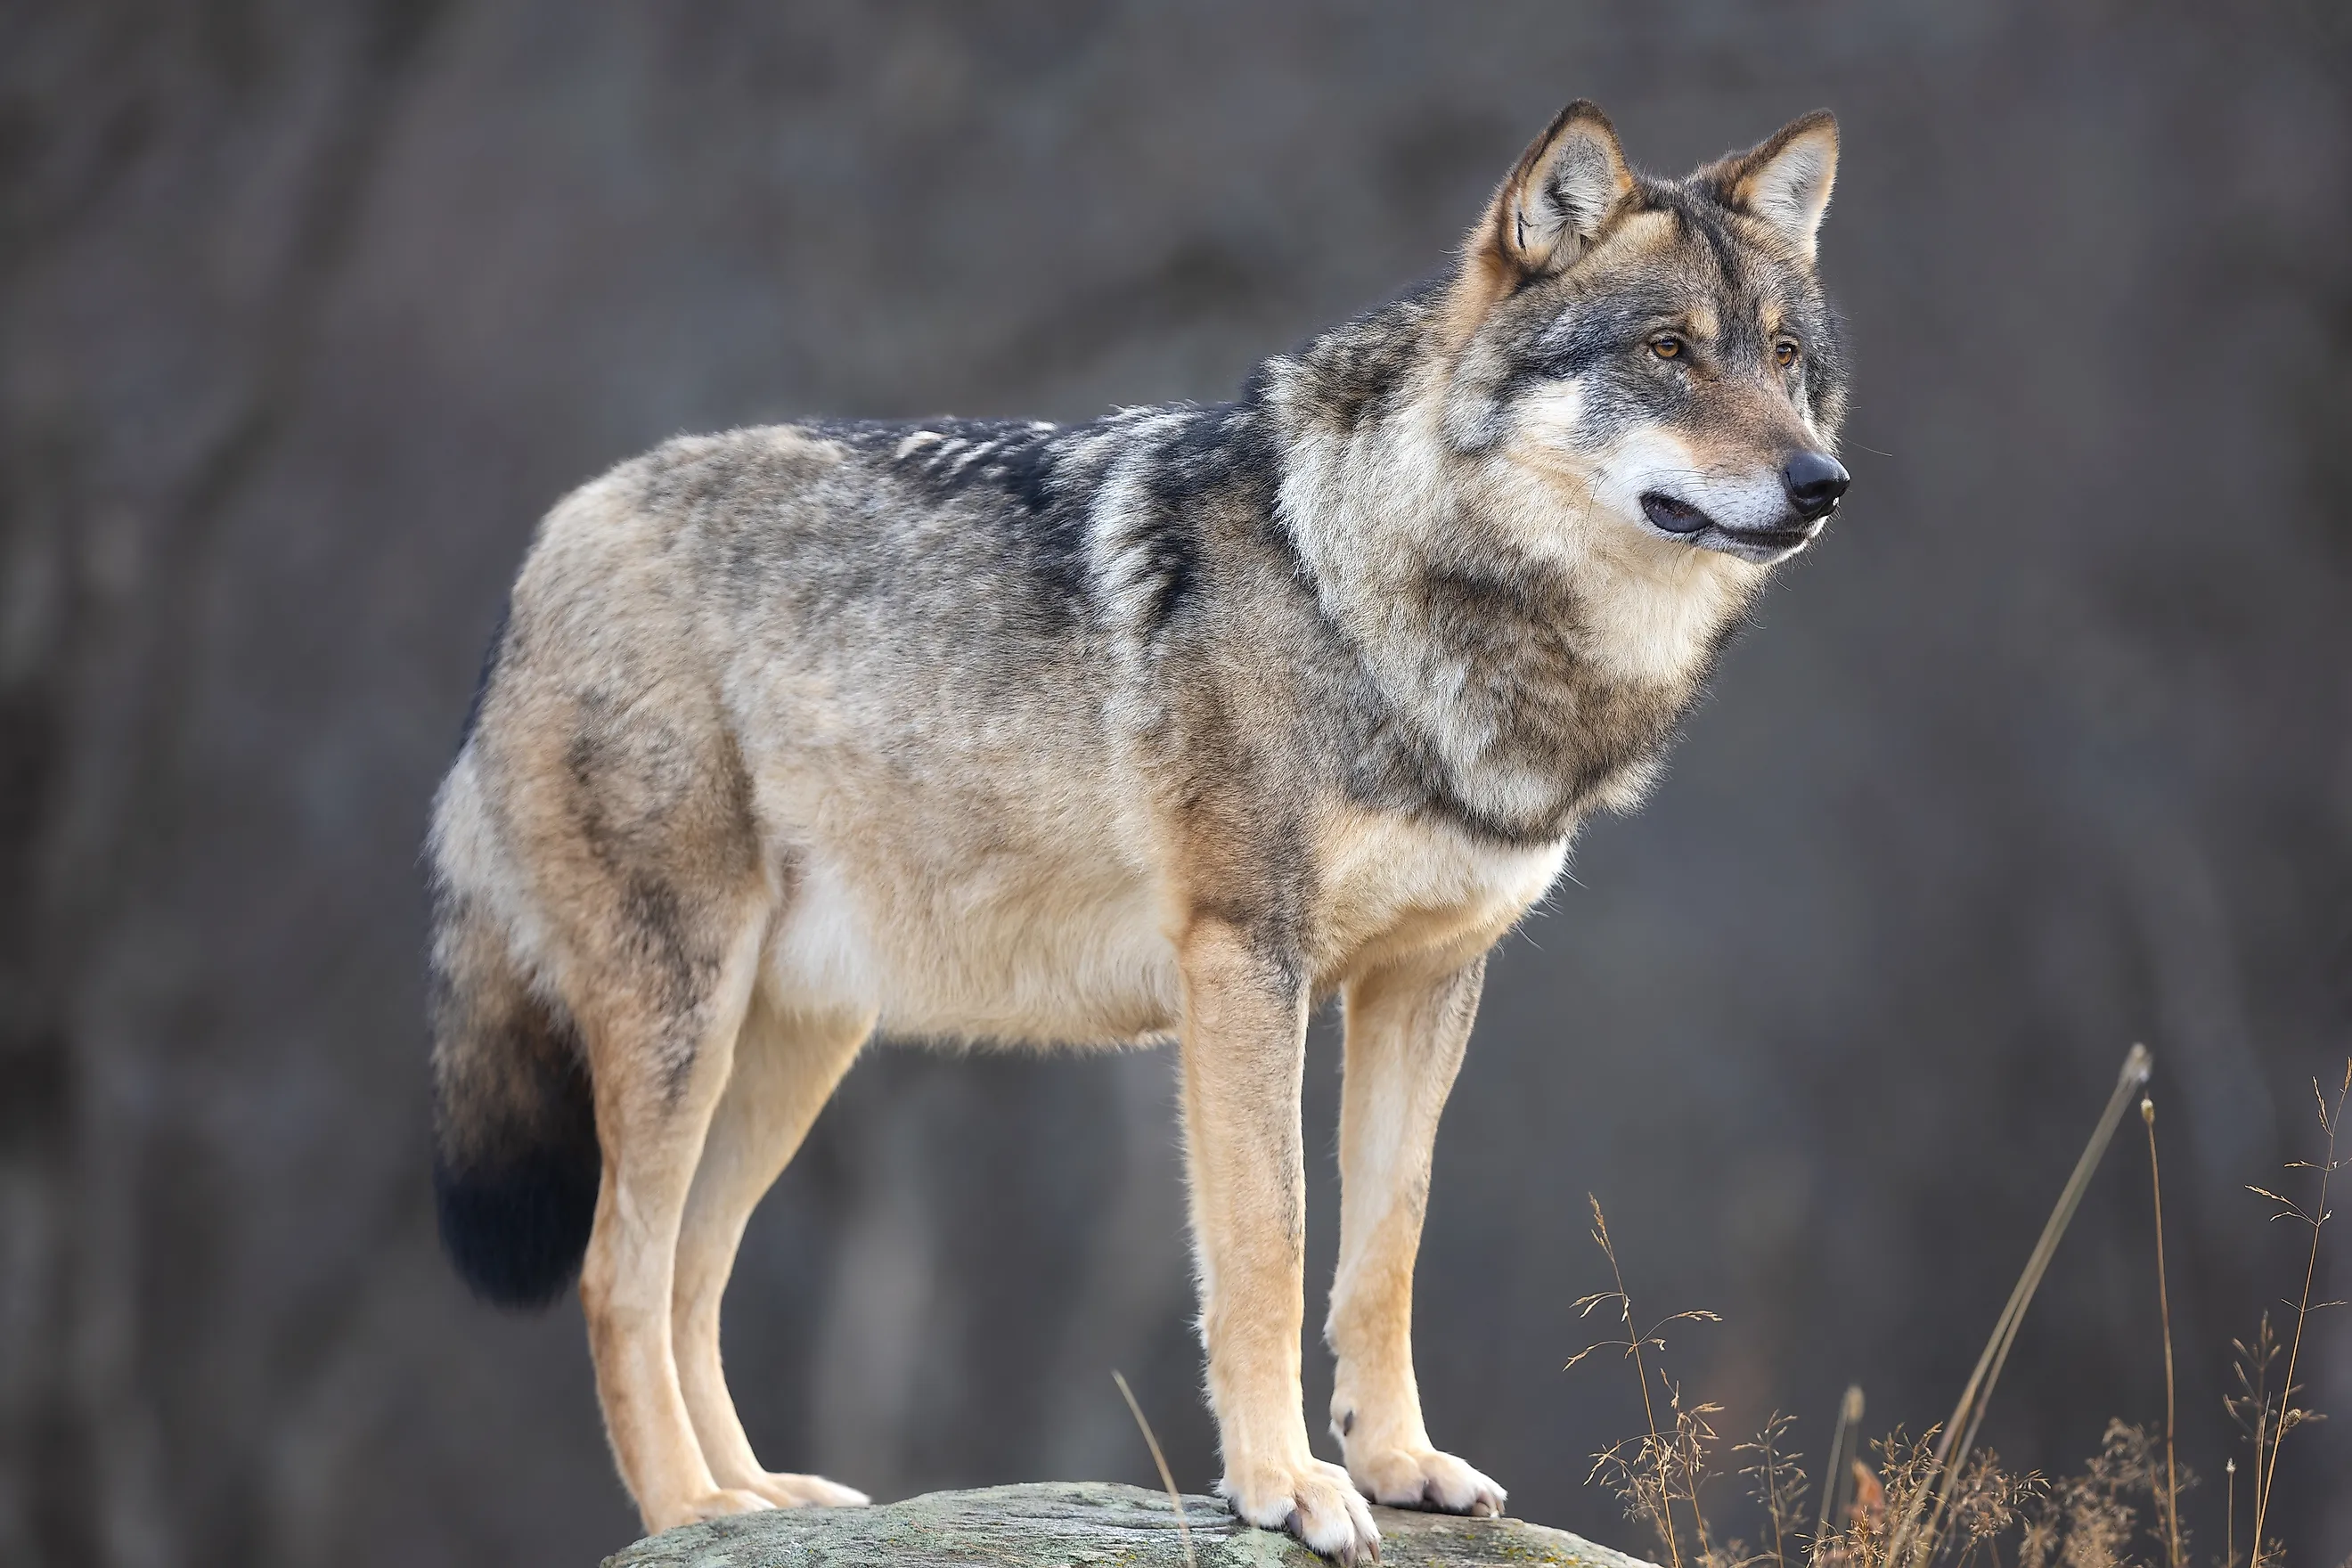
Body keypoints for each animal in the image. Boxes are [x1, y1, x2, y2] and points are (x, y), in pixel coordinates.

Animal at [426, 100, 1848, 1562]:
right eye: (1669, 351)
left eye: (1787, 358)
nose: (1824, 483)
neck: (1379, 591)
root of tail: (555, 536)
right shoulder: (1243, 962)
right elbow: (1272, 1247)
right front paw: (1288, 1487)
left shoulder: (1428, 979)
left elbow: (1384, 1247)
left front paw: (1399, 1464)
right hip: (684, 1025)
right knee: (616, 1274)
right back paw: (684, 1509)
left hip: (794, 1049)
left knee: (691, 1279)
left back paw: (757, 1502)